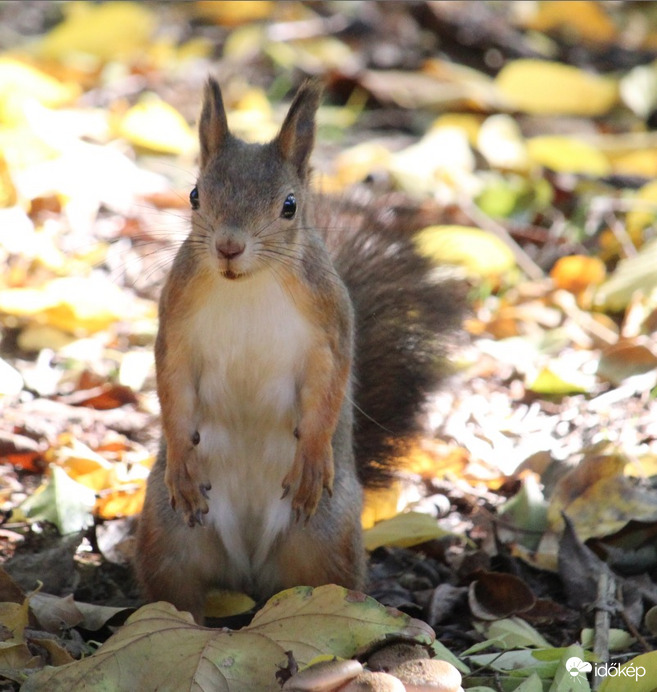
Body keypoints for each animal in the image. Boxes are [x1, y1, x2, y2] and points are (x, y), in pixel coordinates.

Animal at [135, 78, 462, 624]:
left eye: (289, 206)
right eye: (195, 195)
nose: (228, 247)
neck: (248, 283)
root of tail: (246, 568)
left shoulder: (330, 327)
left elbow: (329, 387)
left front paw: (310, 454)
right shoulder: (175, 322)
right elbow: (172, 385)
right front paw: (180, 456)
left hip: (324, 536)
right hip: (170, 533)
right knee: (176, 594)